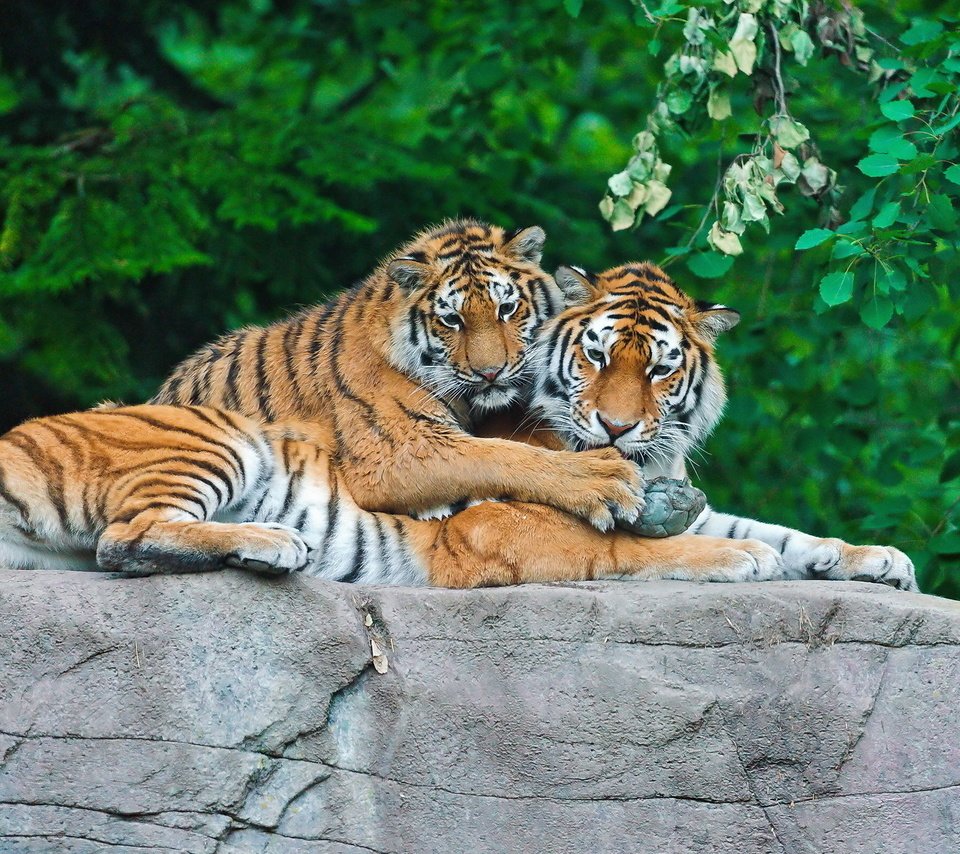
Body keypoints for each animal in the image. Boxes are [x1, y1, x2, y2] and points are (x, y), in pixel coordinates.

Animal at [150, 219, 644, 536]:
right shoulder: (398, 450)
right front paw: (604, 479)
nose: (490, 372)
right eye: (452, 320)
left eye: (507, 308)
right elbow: (502, 456)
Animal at [516, 262, 924, 596]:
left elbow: (779, 533)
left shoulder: (701, 515)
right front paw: (743, 557)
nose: (616, 428)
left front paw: (878, 558)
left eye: (659, 370)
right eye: (597, 355)